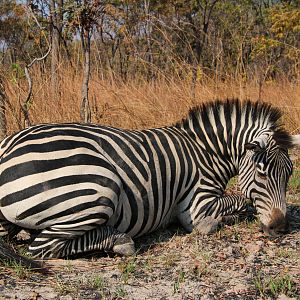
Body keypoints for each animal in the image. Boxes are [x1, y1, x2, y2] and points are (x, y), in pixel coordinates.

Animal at [0, 99, 298, 260]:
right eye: (262, 171)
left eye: (289, 174)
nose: (281, 228)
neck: (206, 152)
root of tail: (7, 149)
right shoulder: (197, 205)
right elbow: (241, 199)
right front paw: (214, 223)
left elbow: (242, 200)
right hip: (97, 188)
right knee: (42, 246)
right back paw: (119, 239)